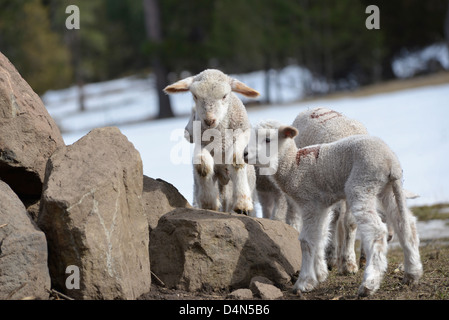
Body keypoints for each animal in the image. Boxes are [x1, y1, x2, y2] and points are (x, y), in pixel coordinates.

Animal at [164, 70, 260, 215]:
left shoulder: (242, 137)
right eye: (195, 96)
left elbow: (236, 160)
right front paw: (209, 203)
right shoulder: (201, 145)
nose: (209, 120)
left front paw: (242, 204)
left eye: (225, 96)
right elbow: (202, 166)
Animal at [245, 121, 424, 296]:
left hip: (362, 183)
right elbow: (320, 237)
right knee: (405, 224)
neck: (292, 167)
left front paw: (303, 282)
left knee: (377, 231)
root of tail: (390, 161)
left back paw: (369, 284)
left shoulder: (309, 202)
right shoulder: (321, 205)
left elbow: (306, 241)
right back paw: (412, 273)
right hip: (387, 188)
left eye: (268, 139)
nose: (245, 154)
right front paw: (320, 274)